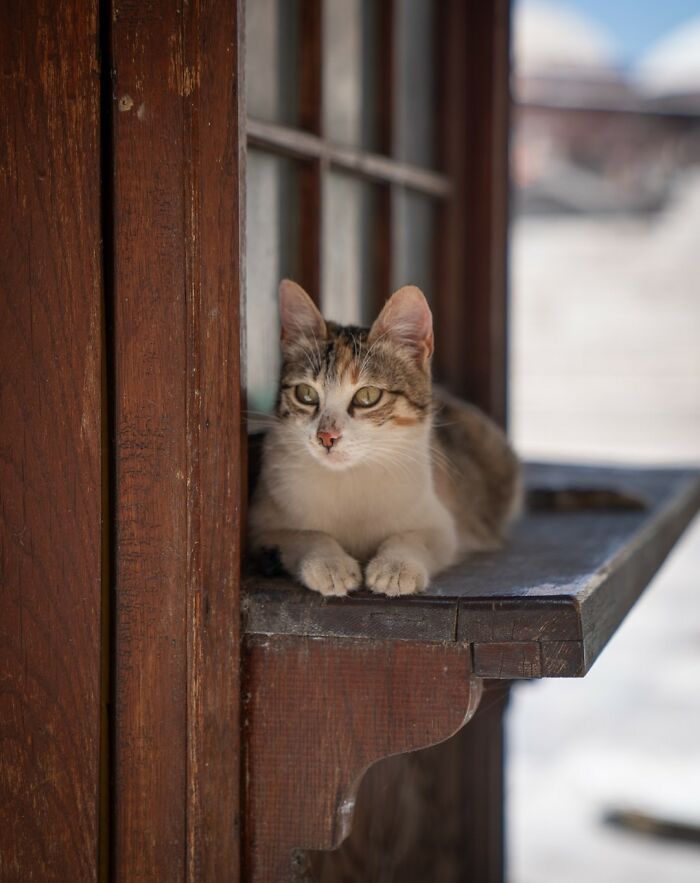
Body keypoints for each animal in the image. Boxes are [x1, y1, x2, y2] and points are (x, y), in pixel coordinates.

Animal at [249, 280, 524, 596]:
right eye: (305, 394)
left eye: (367, 396)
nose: (326, 437)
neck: (350, 478)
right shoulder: (261, 525)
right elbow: (305, 535)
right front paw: (329, 564)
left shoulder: (442, 524)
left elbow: (413, 537)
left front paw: (395, 568)